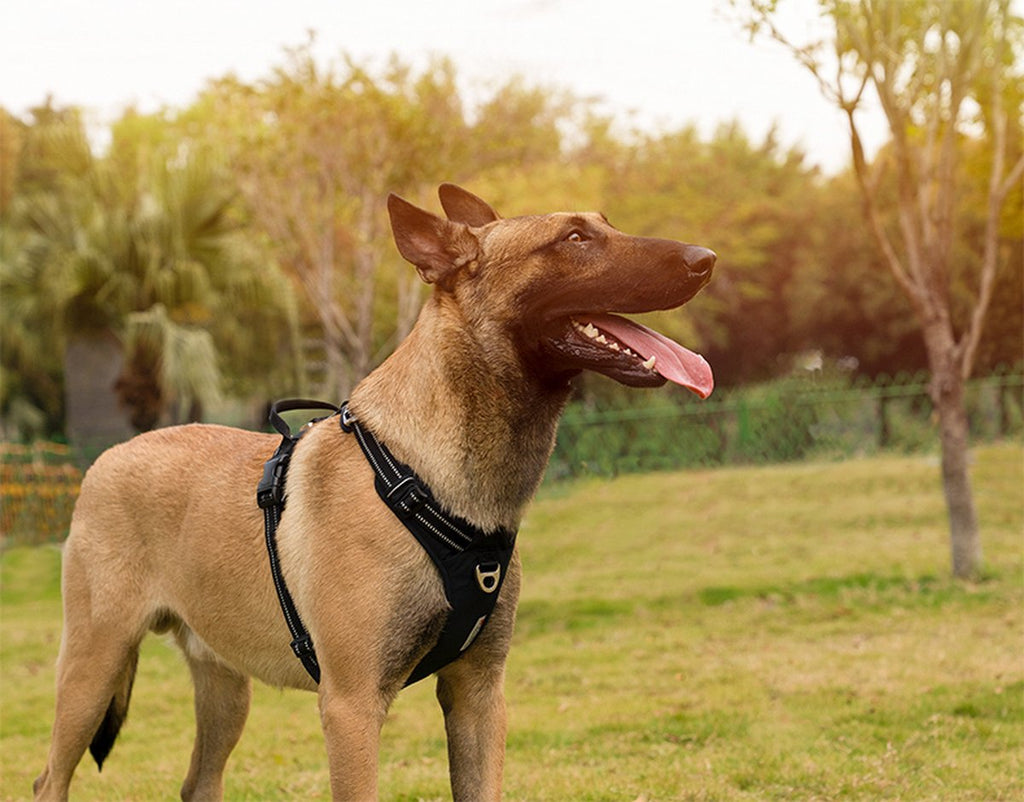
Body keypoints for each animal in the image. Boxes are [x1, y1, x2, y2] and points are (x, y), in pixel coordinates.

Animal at [36, 185, 716, 798]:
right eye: (574, 238)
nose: (706, 258)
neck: (420, 475)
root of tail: (106, 459)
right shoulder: (352, 708)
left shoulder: (477, 695)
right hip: (92, 670)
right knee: (50, 779)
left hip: (225, 687)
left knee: (197, 784)